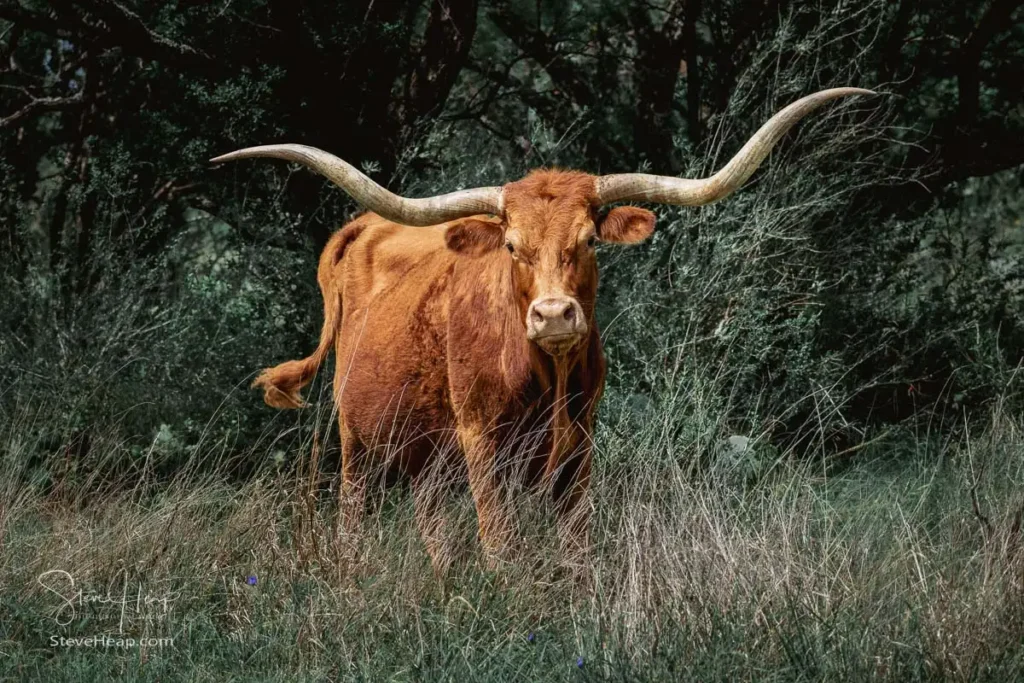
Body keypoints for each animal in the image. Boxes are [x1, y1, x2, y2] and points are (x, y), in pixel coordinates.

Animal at [211, 87, 874, 571]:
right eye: (512, 246)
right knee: (353, 519)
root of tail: (363, 227)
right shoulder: (481, 440)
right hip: (356, 439)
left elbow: (576, 542)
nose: (554, 315)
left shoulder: (579, 443)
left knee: (432, 524)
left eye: (588, 242)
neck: (545, 377)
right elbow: (500, 541)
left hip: (426, 452)